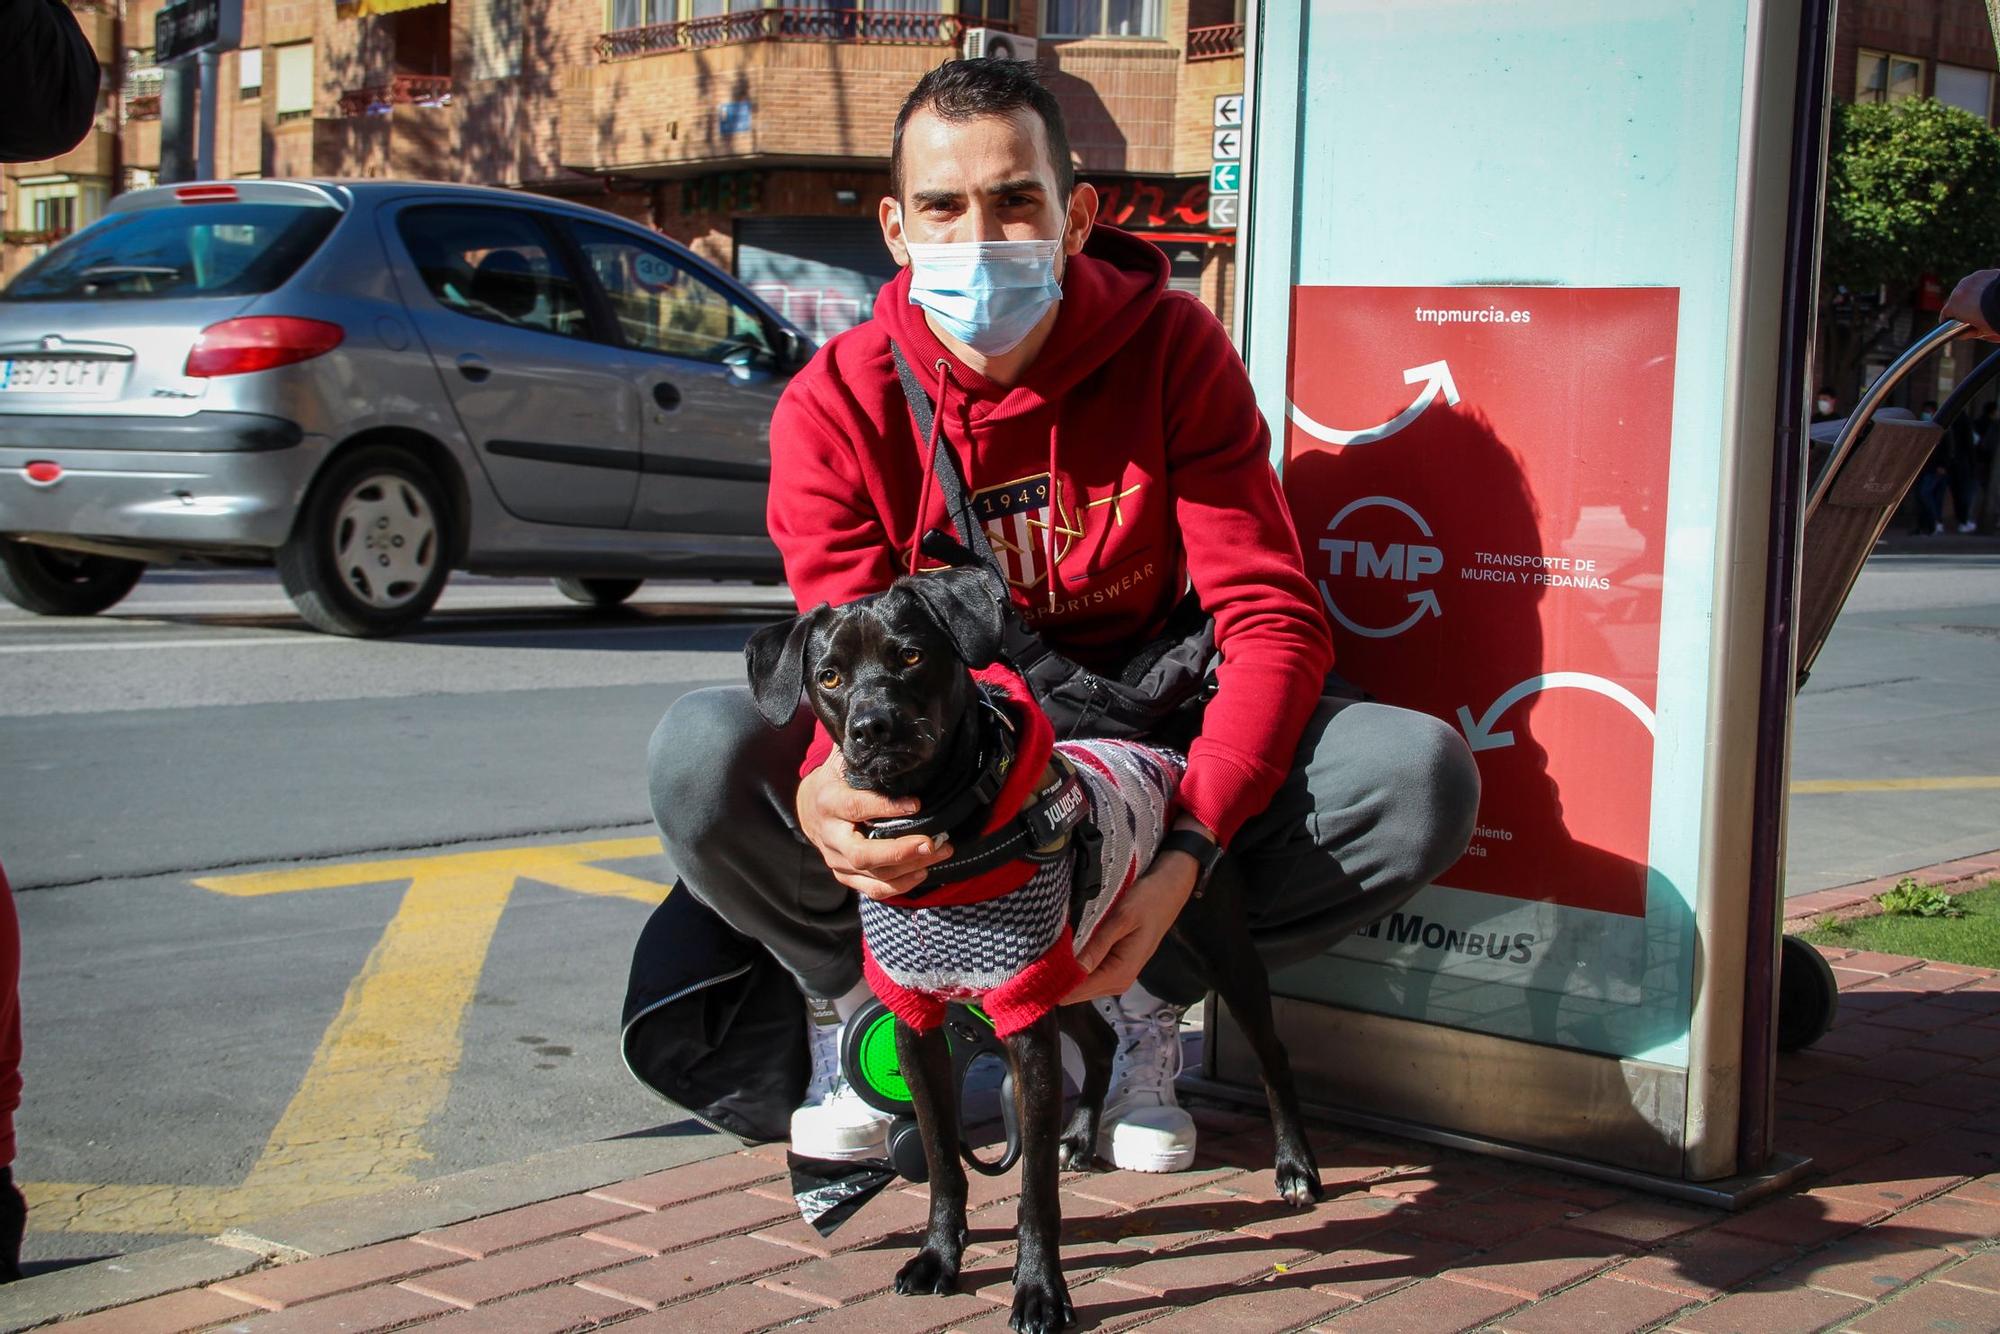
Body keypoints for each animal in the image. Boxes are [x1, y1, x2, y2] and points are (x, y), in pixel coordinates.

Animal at [744, 568, 1320, 1334]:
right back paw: (1080, 1135)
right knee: (1102, 1040)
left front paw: (1040, 1290)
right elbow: (942, 1156)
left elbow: (1033, 1187)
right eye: (830, 676)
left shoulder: (1023, 1017)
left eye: (911, 657)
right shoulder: (922, 1022)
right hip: (1067, 971)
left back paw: (1295, 1167)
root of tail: (1169, 755)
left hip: (1212, 944)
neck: (943, 831)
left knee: (1271, 1052)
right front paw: (939, 1256)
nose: (872, 728)